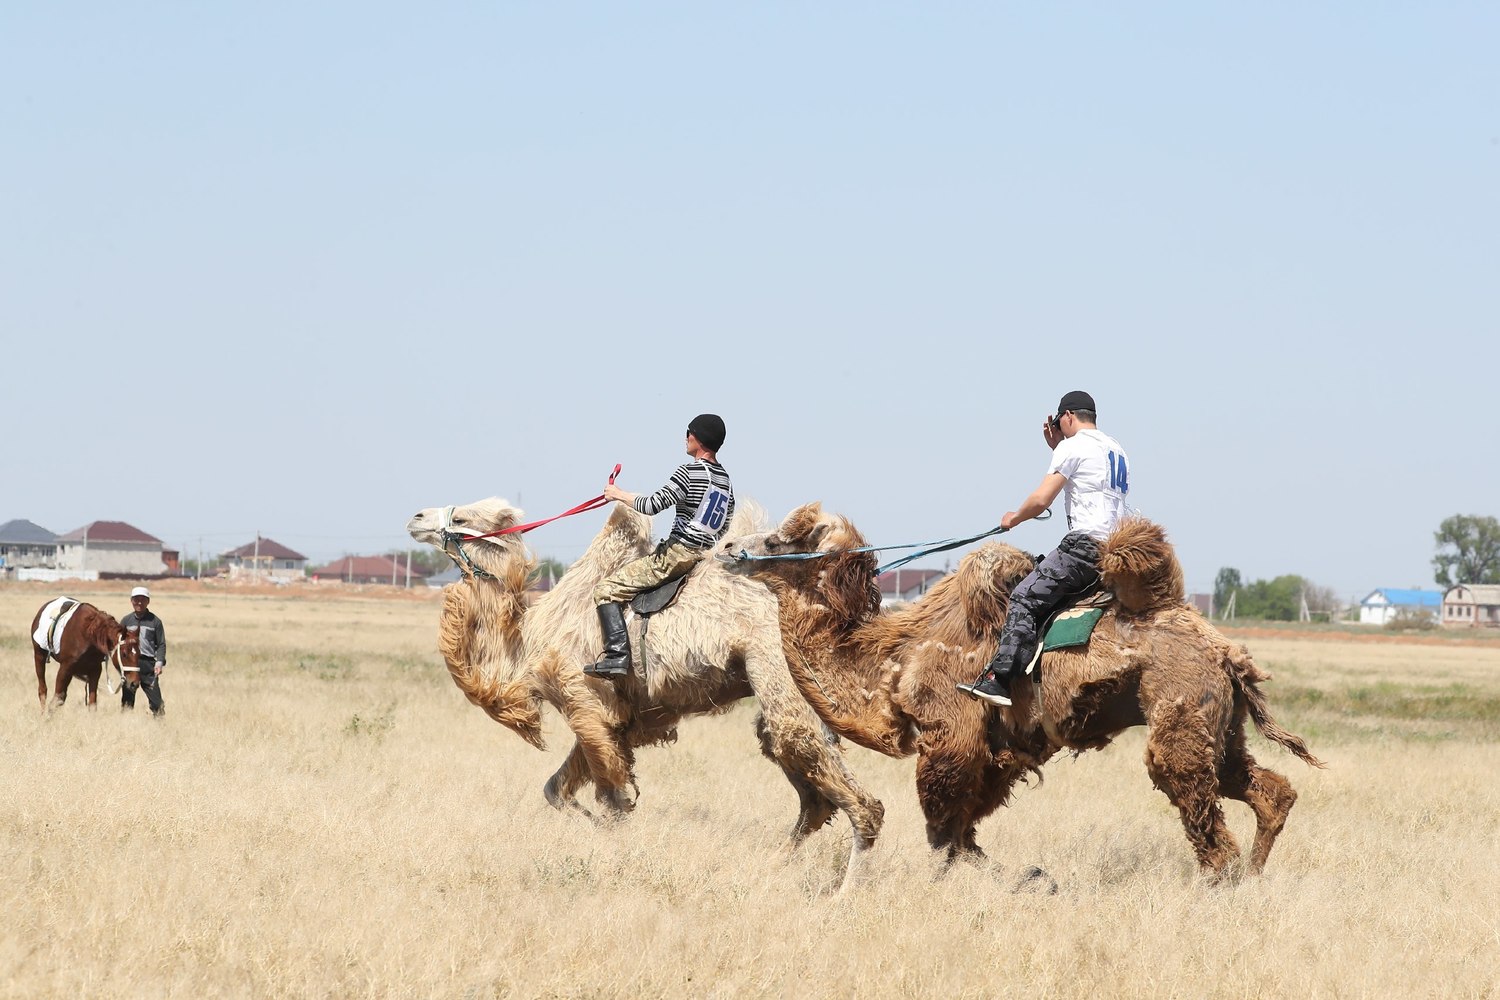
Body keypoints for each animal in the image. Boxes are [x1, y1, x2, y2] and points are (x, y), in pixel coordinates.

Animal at [405, 500, 882, 893]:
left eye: (464, 519)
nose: (416, 517)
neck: (526, 635)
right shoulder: (619, 720)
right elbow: (556, 789)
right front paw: (595, 832)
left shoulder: (584, 702)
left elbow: (611, 800)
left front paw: (610, 852)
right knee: (812, 796)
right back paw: (771, 867)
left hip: (778, 671)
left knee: (856, 797)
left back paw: (845, 895)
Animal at [726, 503, 1326, 881]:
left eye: (776, 540)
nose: (729, 545)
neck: (892, 659)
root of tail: (1228, 654)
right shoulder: (1002, 753)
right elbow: (963, 833)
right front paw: (1027, 877)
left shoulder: (953, 735)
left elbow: (943, 829)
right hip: (1219, 725)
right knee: (1267, 790)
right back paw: (1254, 878)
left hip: (1179, 710)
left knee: (1201, 812)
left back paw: (1217, 886)